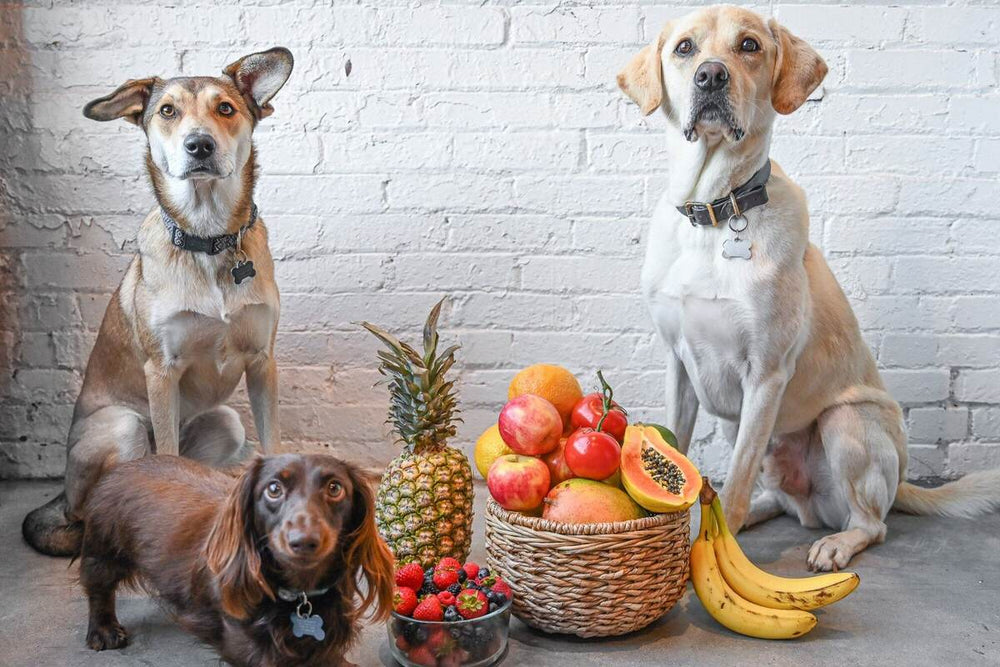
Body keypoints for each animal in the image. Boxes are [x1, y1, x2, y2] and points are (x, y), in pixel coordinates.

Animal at [23, 48, 292, 560]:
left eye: (225, 108)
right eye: (167, 111)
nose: (199, 145)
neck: (208, 239)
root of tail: (61, 494)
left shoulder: (263, 362)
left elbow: (274, 443)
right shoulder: (161, 371)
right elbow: (165, 453)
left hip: (227, 422)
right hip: (124, 428)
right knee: (94, 506)